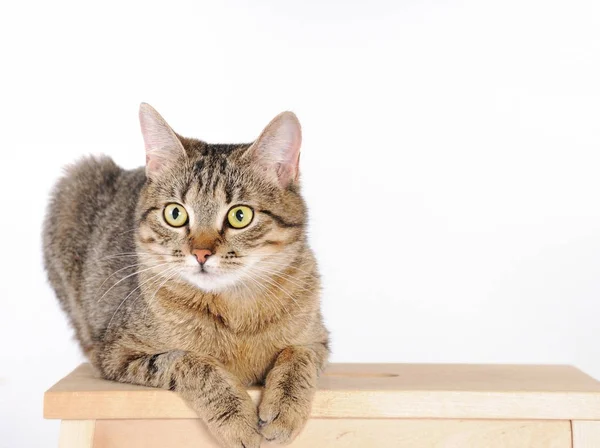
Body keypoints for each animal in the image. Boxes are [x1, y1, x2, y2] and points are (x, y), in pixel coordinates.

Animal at [43, 102, 328, 448]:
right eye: (175, 213)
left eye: (240, 215)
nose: (201, 253)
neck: (236, 312)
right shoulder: (116, 355)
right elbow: (191, 361)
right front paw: (236, 419)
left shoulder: (318, 341)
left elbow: (298, 356)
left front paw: (285, 407)